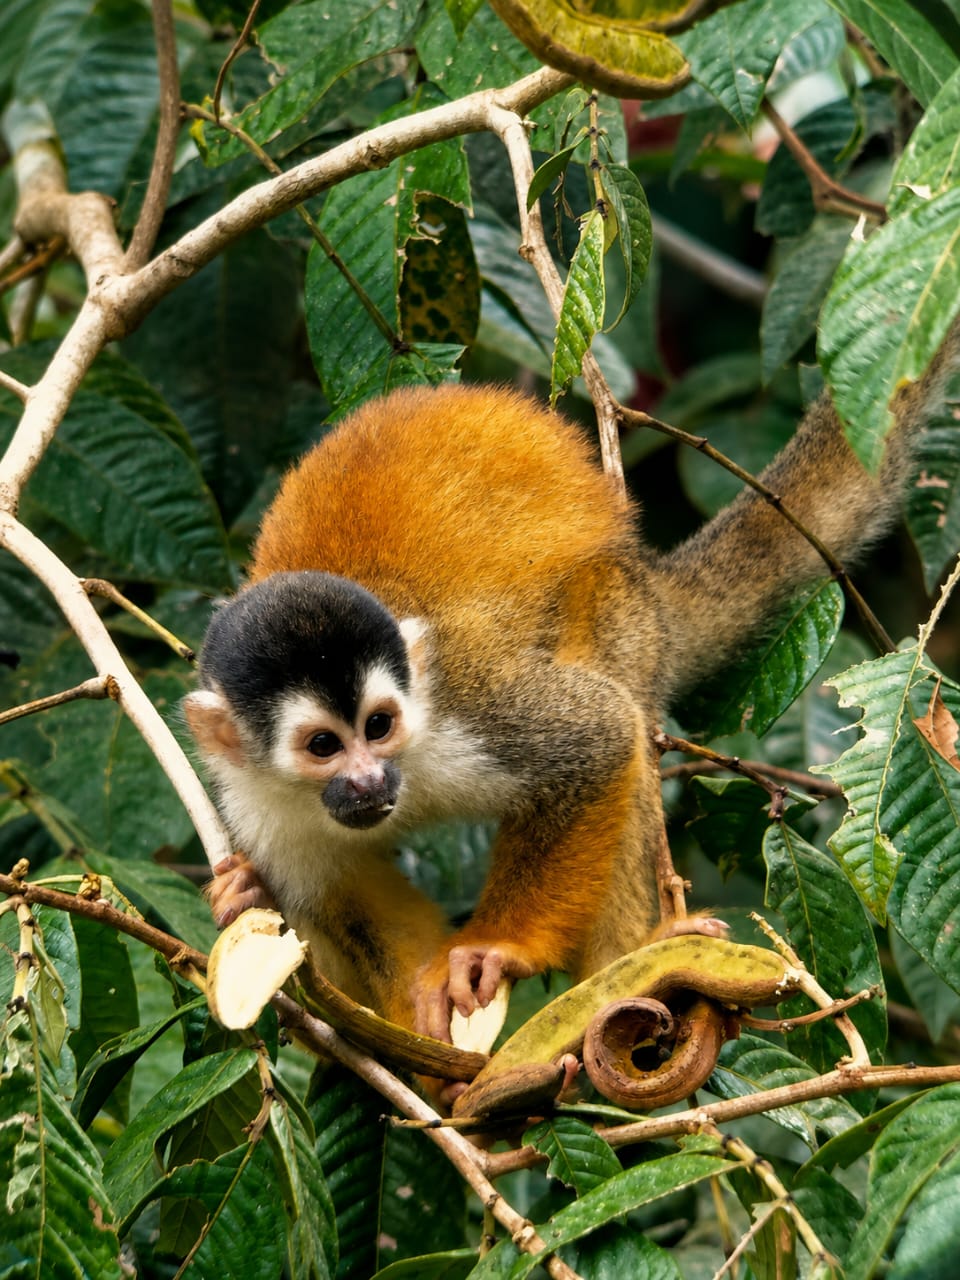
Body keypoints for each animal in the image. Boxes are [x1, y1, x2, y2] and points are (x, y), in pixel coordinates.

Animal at [183, 358, 955, 1048]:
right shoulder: (257, 805)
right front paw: (253, 900)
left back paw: (629, 963)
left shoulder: (468, 703)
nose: (371, 781)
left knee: (622, 711)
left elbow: (597, 738)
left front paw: (494, 949)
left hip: (617, 604)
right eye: (323, 746)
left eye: (379, 725)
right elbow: (342, 908)